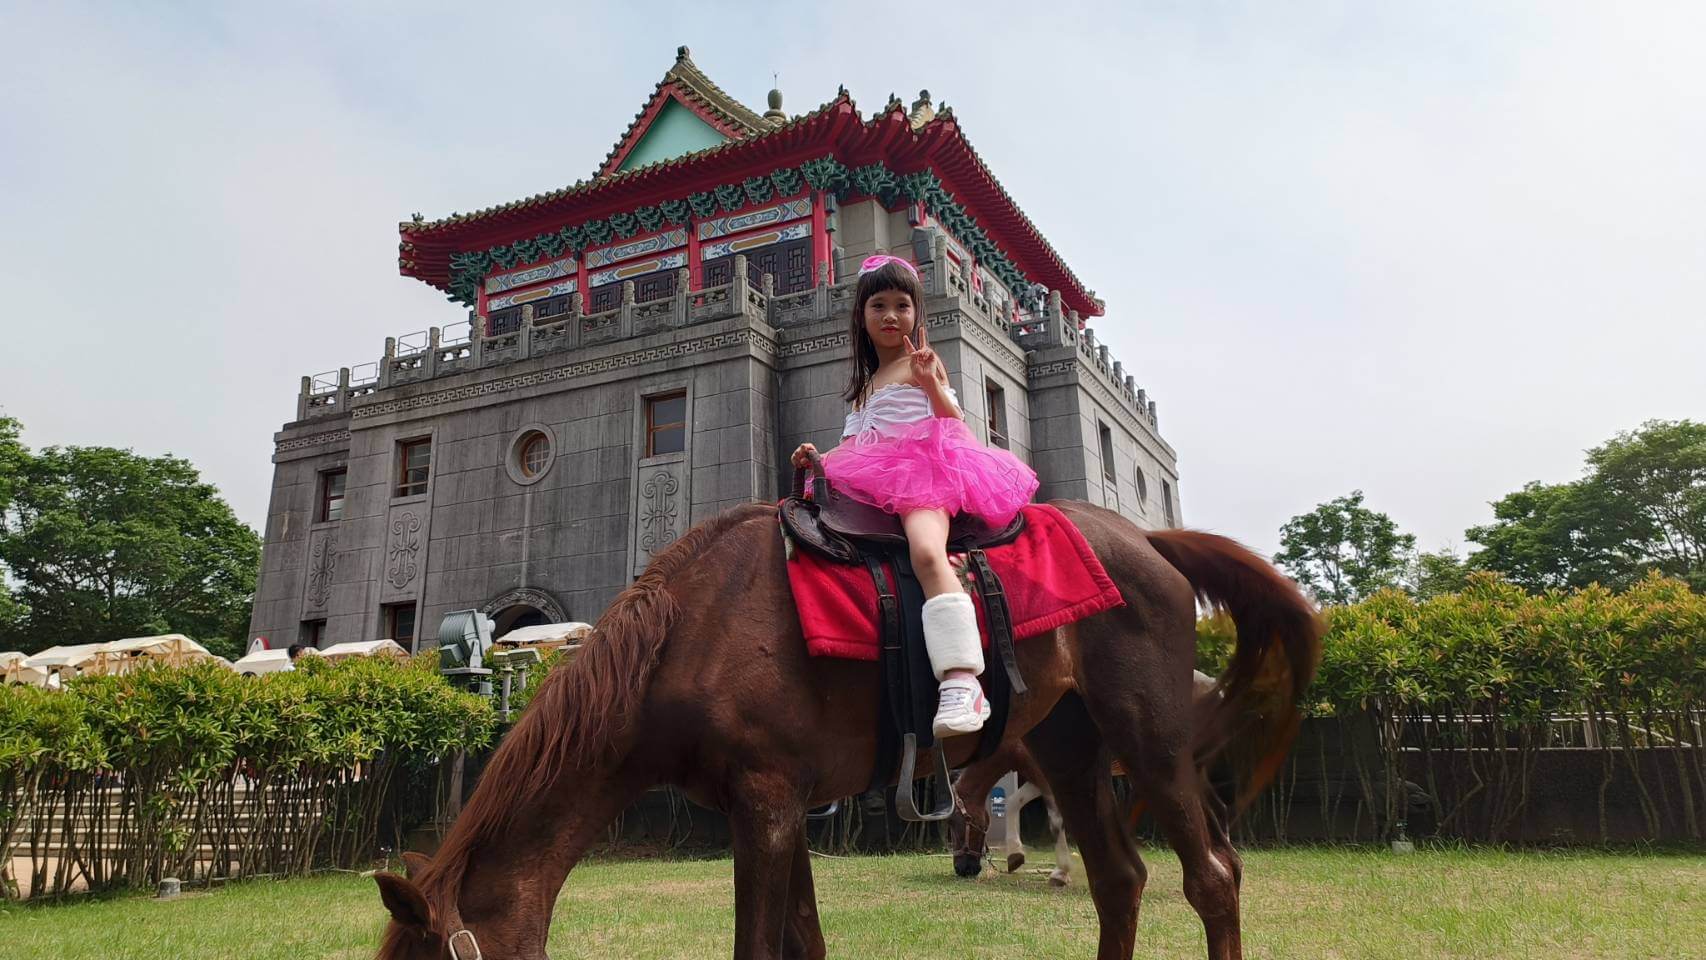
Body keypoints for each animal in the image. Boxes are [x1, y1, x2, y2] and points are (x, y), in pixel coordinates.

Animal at [373, 504, 1317, 960]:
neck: (686, 634)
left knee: (1212, 879)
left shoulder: (764, 808)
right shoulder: (781, 809)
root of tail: (1146, 539)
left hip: (1149, 741)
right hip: (1070, 748)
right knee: (1119, 881)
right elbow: (807, 944)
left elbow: (760, 950)